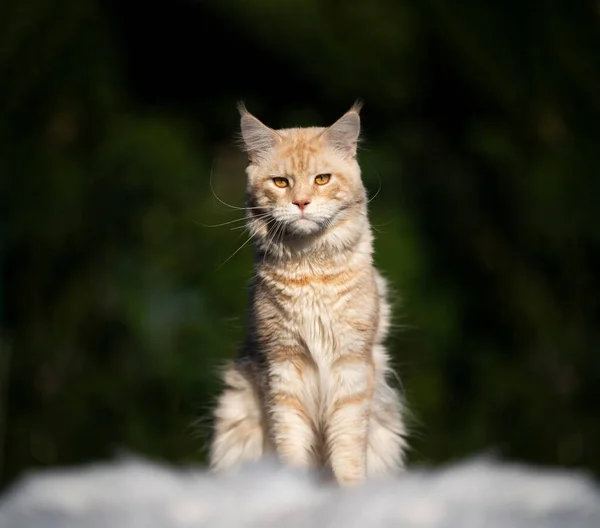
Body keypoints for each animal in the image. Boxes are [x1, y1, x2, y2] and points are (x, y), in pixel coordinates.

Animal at [207, 103, 408, 486]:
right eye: (281, 182)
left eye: (322, 179)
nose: (301, 202)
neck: (311, 273)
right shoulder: (283, 370)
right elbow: (291, 445)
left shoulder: (351, 369)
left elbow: (347, 454)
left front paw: (349, 494)